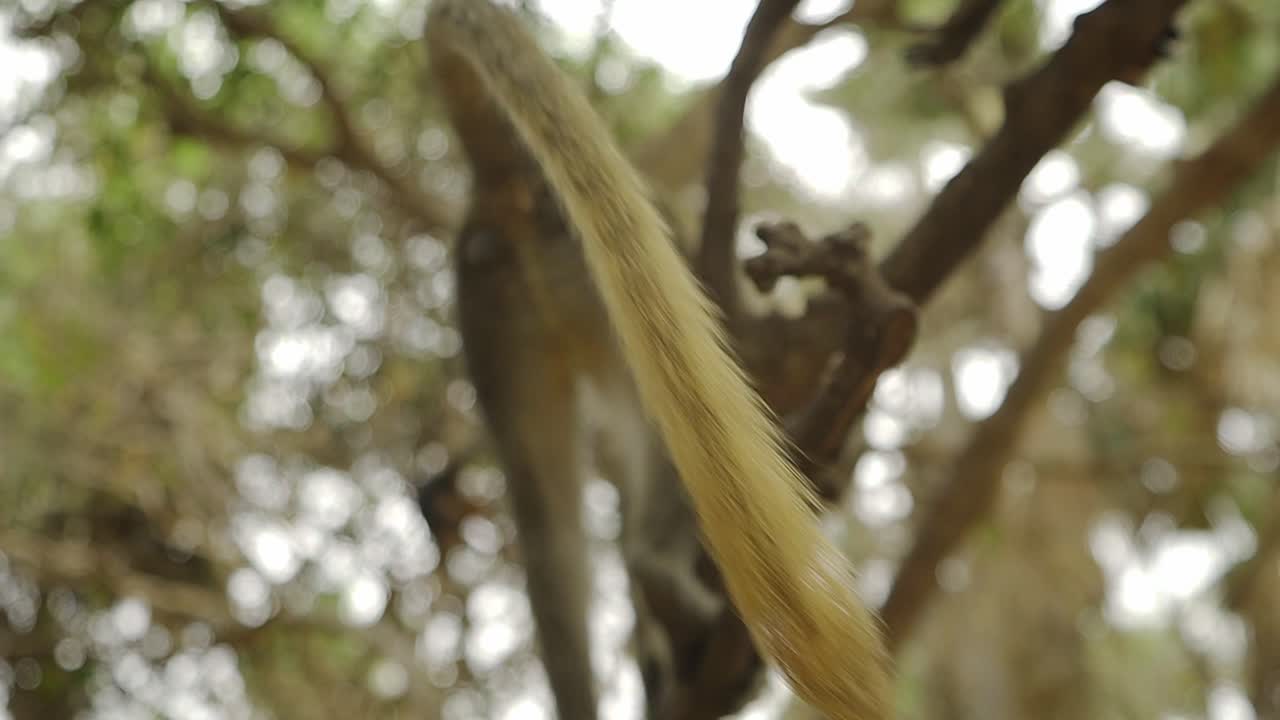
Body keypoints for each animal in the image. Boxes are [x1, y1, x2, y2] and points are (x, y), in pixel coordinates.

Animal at [426, 3, 893, 719]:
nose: (840, 480)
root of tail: (504, 180)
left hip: (490, 303)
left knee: (546, 525)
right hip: (585, 275)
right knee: (677, 434)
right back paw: (667, 589)